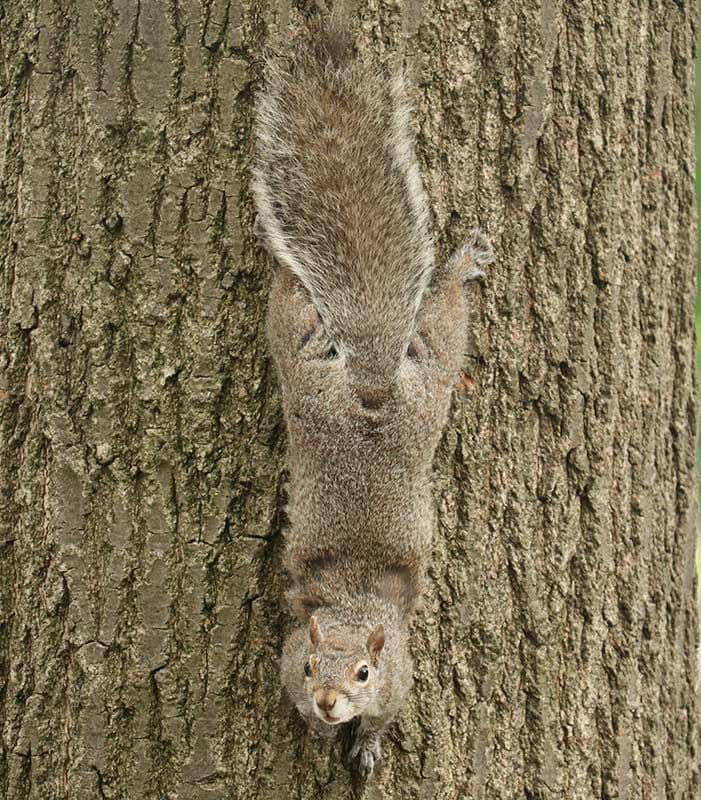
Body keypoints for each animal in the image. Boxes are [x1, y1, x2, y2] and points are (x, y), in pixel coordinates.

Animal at [251, 18, 493, 779]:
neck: (354, 603)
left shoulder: (402, 675)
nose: (329, 703)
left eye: (365, 672)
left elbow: (387, 718)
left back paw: (456, 265)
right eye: (309, 671)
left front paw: (365, 745)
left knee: (436, 317)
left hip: (421, 375)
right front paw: (318, 729)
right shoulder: (287, 652)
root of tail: (370, 387)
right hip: (327, 375)